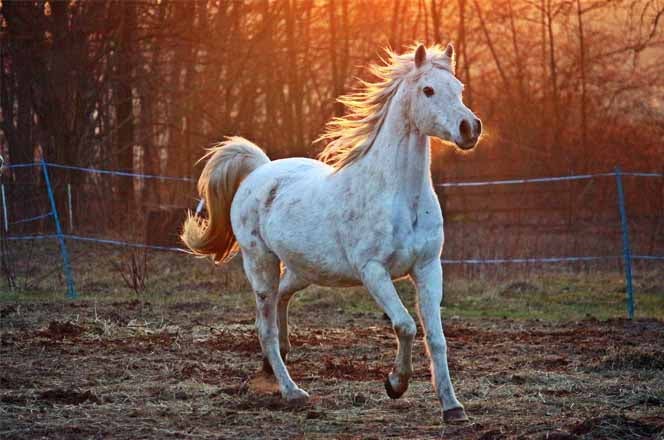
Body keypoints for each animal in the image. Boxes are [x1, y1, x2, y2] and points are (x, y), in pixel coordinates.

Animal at [182, 43, 482, 422]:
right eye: (428, 90)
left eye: (458, 88)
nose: (470, 128)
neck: (399, 195)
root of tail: (260, 171)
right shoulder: (373, 271)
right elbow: (405, 325)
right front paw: (395, 384)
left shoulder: (428, 268)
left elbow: (437, 338)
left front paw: (452, 407)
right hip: (260, 264)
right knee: (265, 326)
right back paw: (292, 391)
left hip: (304, 269)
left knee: (281, 300)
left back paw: (274, 363)